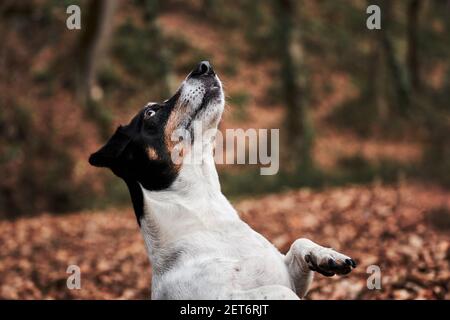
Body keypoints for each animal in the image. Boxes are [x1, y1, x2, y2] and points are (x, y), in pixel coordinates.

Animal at [88, 60, 356, 300]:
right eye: (150, 113)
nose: (204, 65)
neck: (207, 215)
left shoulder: (289, 276)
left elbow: (299, 242)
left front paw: (326, 255)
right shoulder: (224, 296)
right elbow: (281, 291)